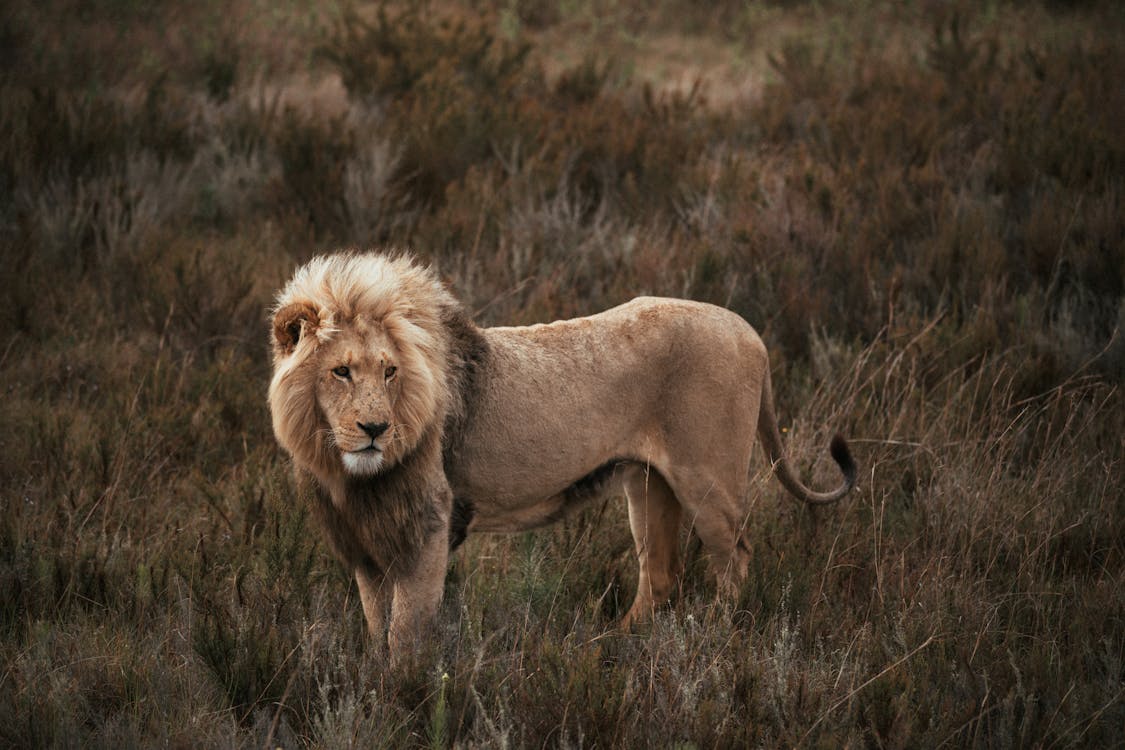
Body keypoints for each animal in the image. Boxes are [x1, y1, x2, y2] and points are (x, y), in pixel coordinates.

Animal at [267, 251, 855, 656]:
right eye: (341, 371)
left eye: (390, 371)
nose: (374, 429)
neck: (353, 475)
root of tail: (749, 330)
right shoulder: (366, 540)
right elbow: (376, 627)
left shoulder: (428, 527)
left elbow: (406, 632)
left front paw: (403, 697)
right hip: (648, 484)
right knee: (661, 575)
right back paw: (610, 645)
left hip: (707, 482)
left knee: (735, 558)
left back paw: (717, 639)